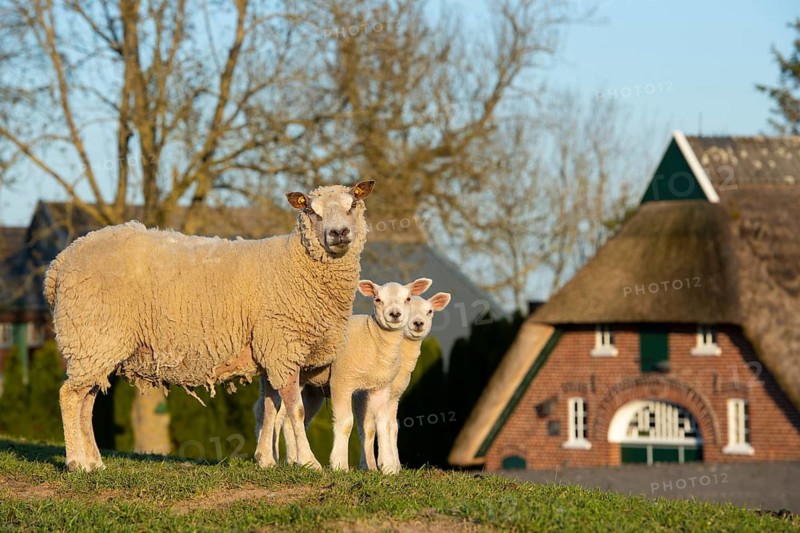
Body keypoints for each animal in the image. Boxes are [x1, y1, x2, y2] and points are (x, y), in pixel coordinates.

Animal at [44, 181, 375, 472]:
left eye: (353, 205)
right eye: (312, 211)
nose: (339, 233)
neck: (296, 264)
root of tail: (61, 261)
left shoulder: (269, 349)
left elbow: (271, 407)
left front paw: (266, 461)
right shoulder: (283, 344)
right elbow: (295, 409)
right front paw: (308, 462)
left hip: (95, 345)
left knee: (85, 400)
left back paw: (94, 463)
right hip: (92, 335)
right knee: (69, 396)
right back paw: (76, 462)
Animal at [271, 278, 432, 470]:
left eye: (407, 298)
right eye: (377, 299)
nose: (395, 314)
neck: (372, 339)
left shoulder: (382, 388)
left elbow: (383, 425)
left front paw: (387, 467)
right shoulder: (343, 382)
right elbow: (350, 424)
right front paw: (341, 464)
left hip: (308, 386)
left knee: (291, 419)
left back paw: (295, 460)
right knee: (269, 413)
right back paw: (271, 458)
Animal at [358, 292, 451, 473]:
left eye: (429, 311)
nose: (418, 323)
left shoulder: (394, 396)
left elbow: (392, 426)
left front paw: (394, 464)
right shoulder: (363, 393)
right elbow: (368, 427)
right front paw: (371, 465)